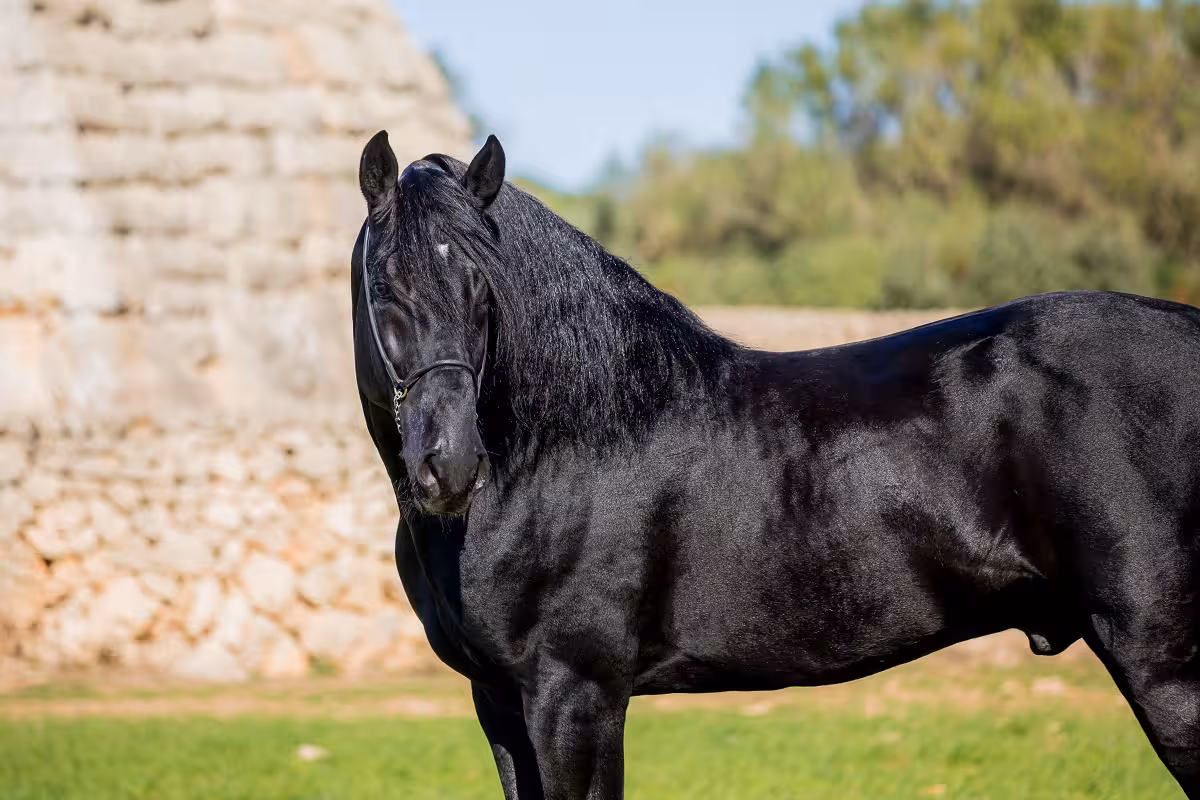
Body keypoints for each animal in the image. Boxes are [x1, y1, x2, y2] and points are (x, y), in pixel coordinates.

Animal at [351, 130, 1200, 799]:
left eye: (484, 289)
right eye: (384, 284)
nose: (450, 465)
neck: (564, 445)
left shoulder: (575, 696)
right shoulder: (500, 702)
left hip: (1166, 666)